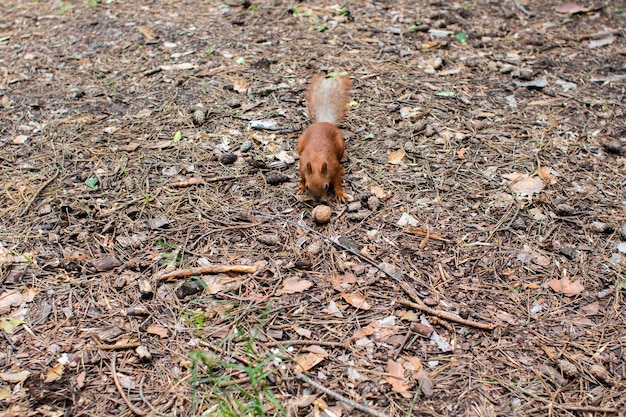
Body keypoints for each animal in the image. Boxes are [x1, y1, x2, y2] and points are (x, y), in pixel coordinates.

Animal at [294, 75, 348, 205]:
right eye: (308, 187)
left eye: (327, 186)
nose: (317, 200)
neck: (317, 162)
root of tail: (324, 122)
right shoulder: (303, 167)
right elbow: (302, 178)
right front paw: (301, 187)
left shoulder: (334, 170)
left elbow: (338, 182)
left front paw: (340, 194)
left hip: (341, 147)